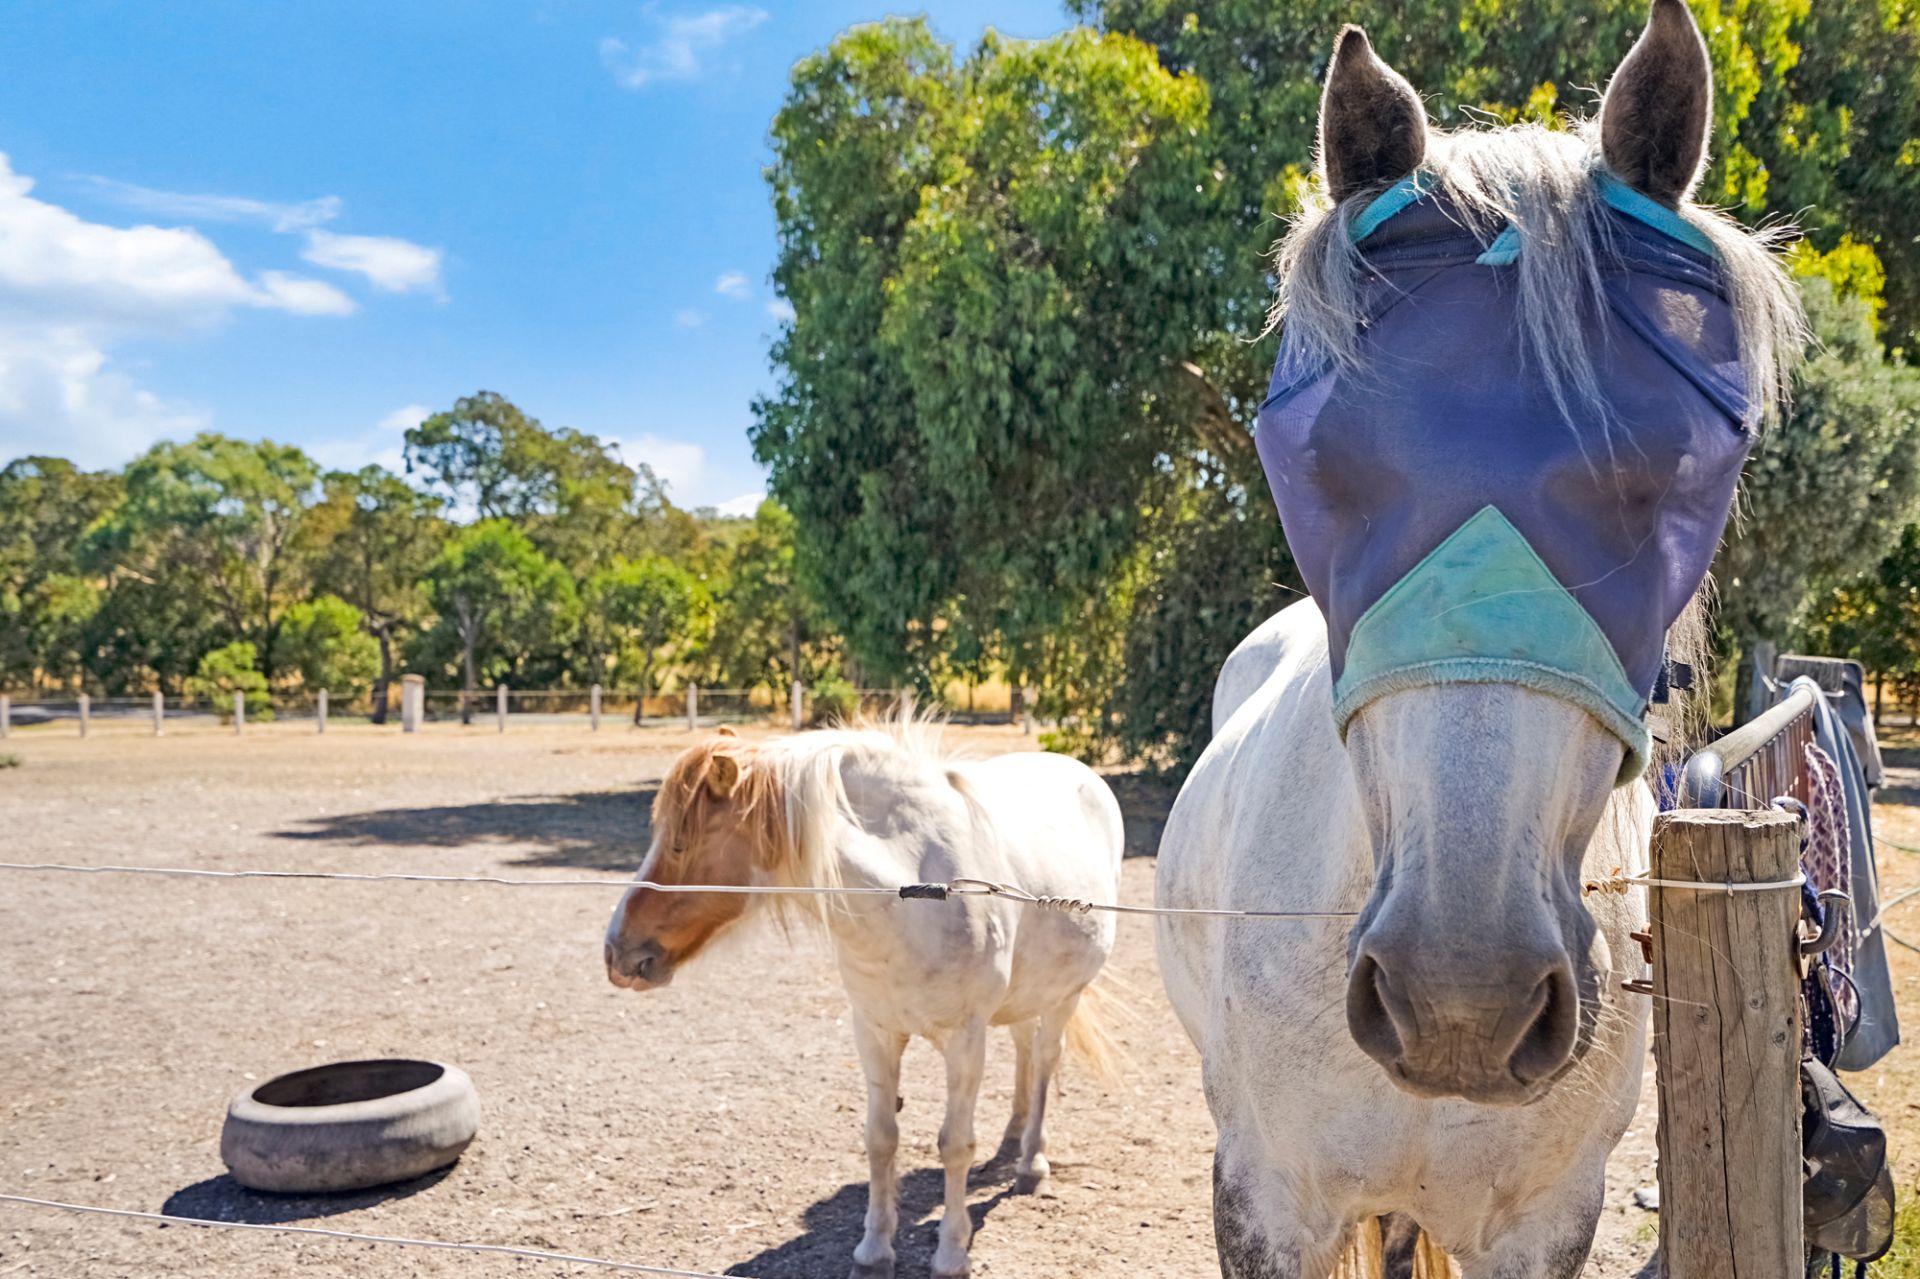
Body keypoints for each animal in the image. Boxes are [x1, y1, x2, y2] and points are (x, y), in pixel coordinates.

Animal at [603, 721, 1125, 1279]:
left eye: (682, 843)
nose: (616, 950)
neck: (915, 897)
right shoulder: (874, 1031)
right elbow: (880, 1138)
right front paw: (874, 1251)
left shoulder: (965, 1040)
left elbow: (955, 1144)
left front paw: (951, 1252)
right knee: (1026, 1048)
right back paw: (1011, 1140)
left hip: (1065, 994)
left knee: (1045, 1060)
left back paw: (1031, 1162)